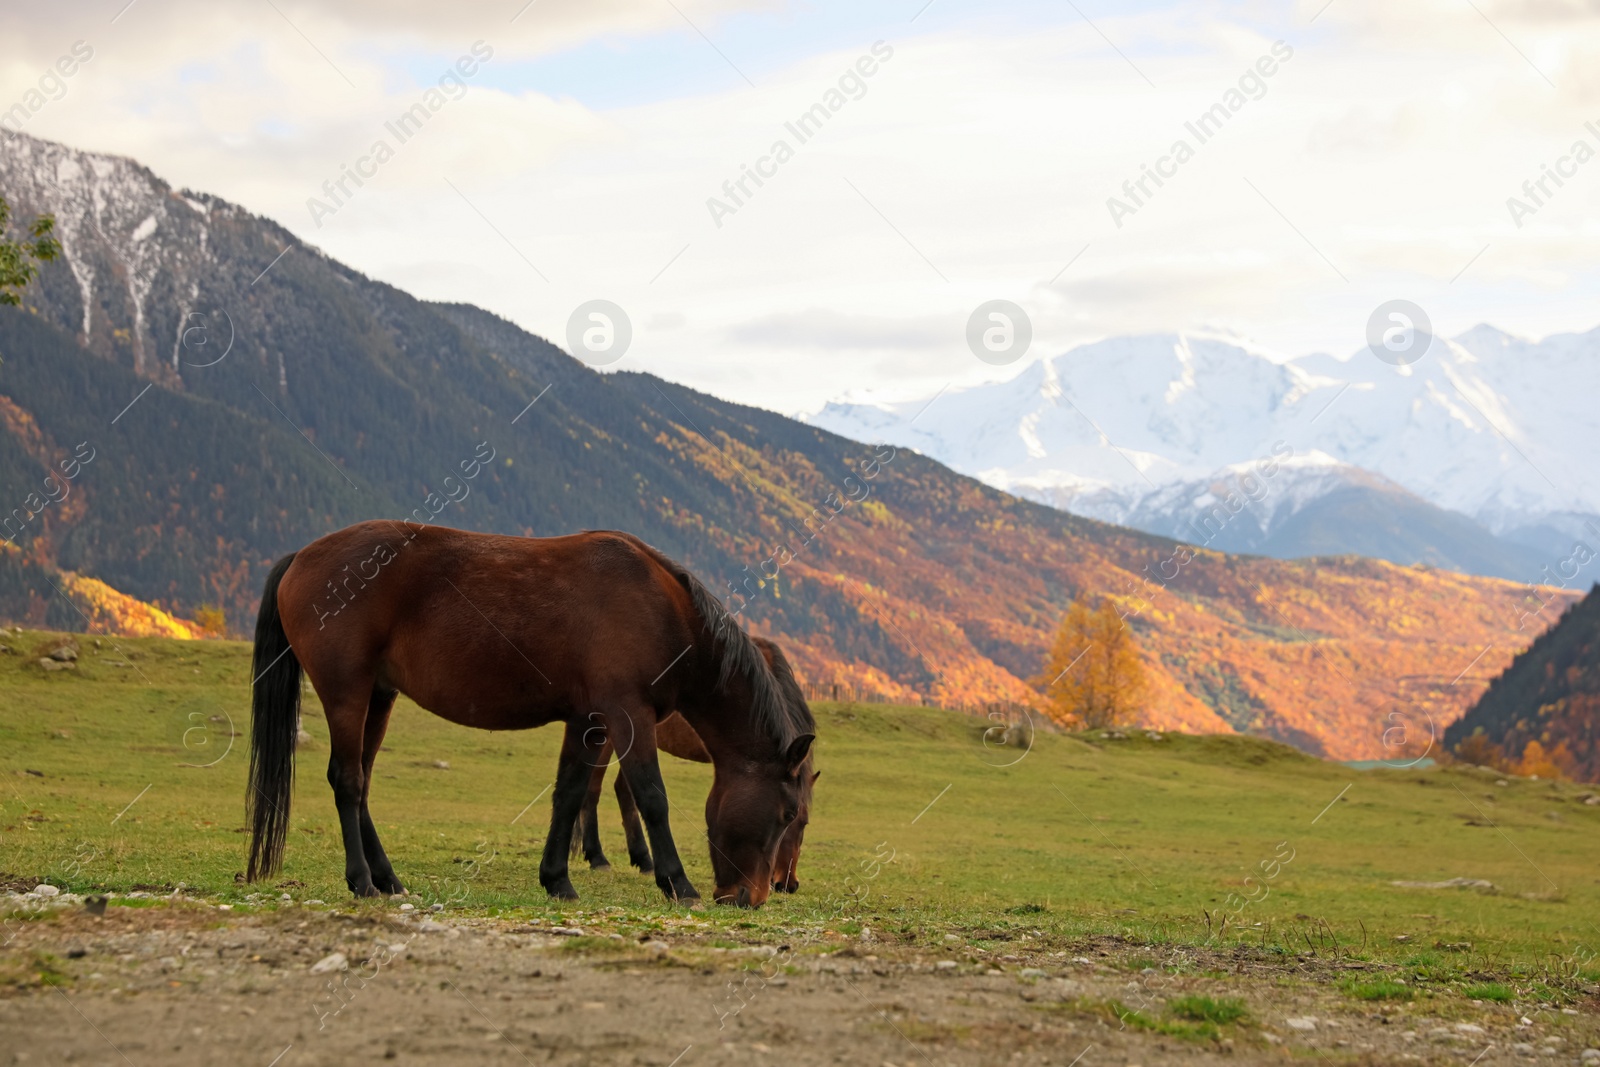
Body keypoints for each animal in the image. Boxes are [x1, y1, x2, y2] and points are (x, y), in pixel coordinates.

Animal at [572, 633, 819, 895]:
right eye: (788, 818)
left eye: (803, 823)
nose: (786, 883)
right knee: (594, 788)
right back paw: (597, 857)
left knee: (622, 789)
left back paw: (644, 860)